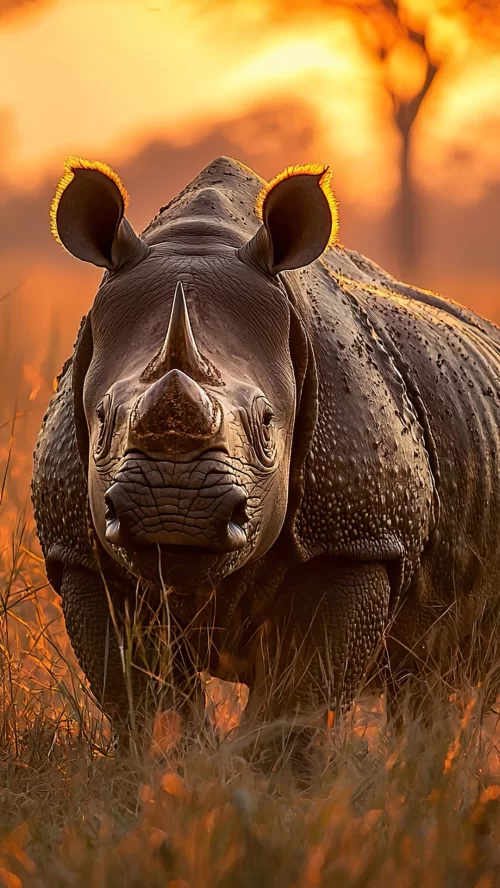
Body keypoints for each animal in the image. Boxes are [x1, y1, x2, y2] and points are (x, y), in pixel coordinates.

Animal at [32, 155, 500, 730]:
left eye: (266, 422)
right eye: (101, 418)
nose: (172, 511)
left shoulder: (357, 538)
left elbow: (294, 704)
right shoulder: (79, 551)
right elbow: (145, 706)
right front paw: (169, 752)